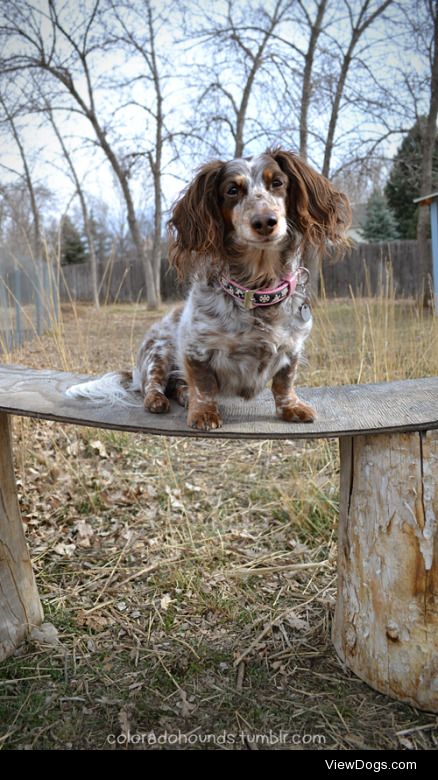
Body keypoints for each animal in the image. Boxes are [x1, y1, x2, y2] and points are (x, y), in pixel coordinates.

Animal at [66, 149, 350, 430]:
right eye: (232, 190)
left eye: (278, 183)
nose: (265, 222)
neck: (256, 291)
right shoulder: (196, 350)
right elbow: (203, 384)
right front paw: (203, 412)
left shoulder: (292, 349)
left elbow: (284, 382)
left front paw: (291, 407)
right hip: (158, 351)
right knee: (153, 384)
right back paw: (158, 400)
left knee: (176, 384)